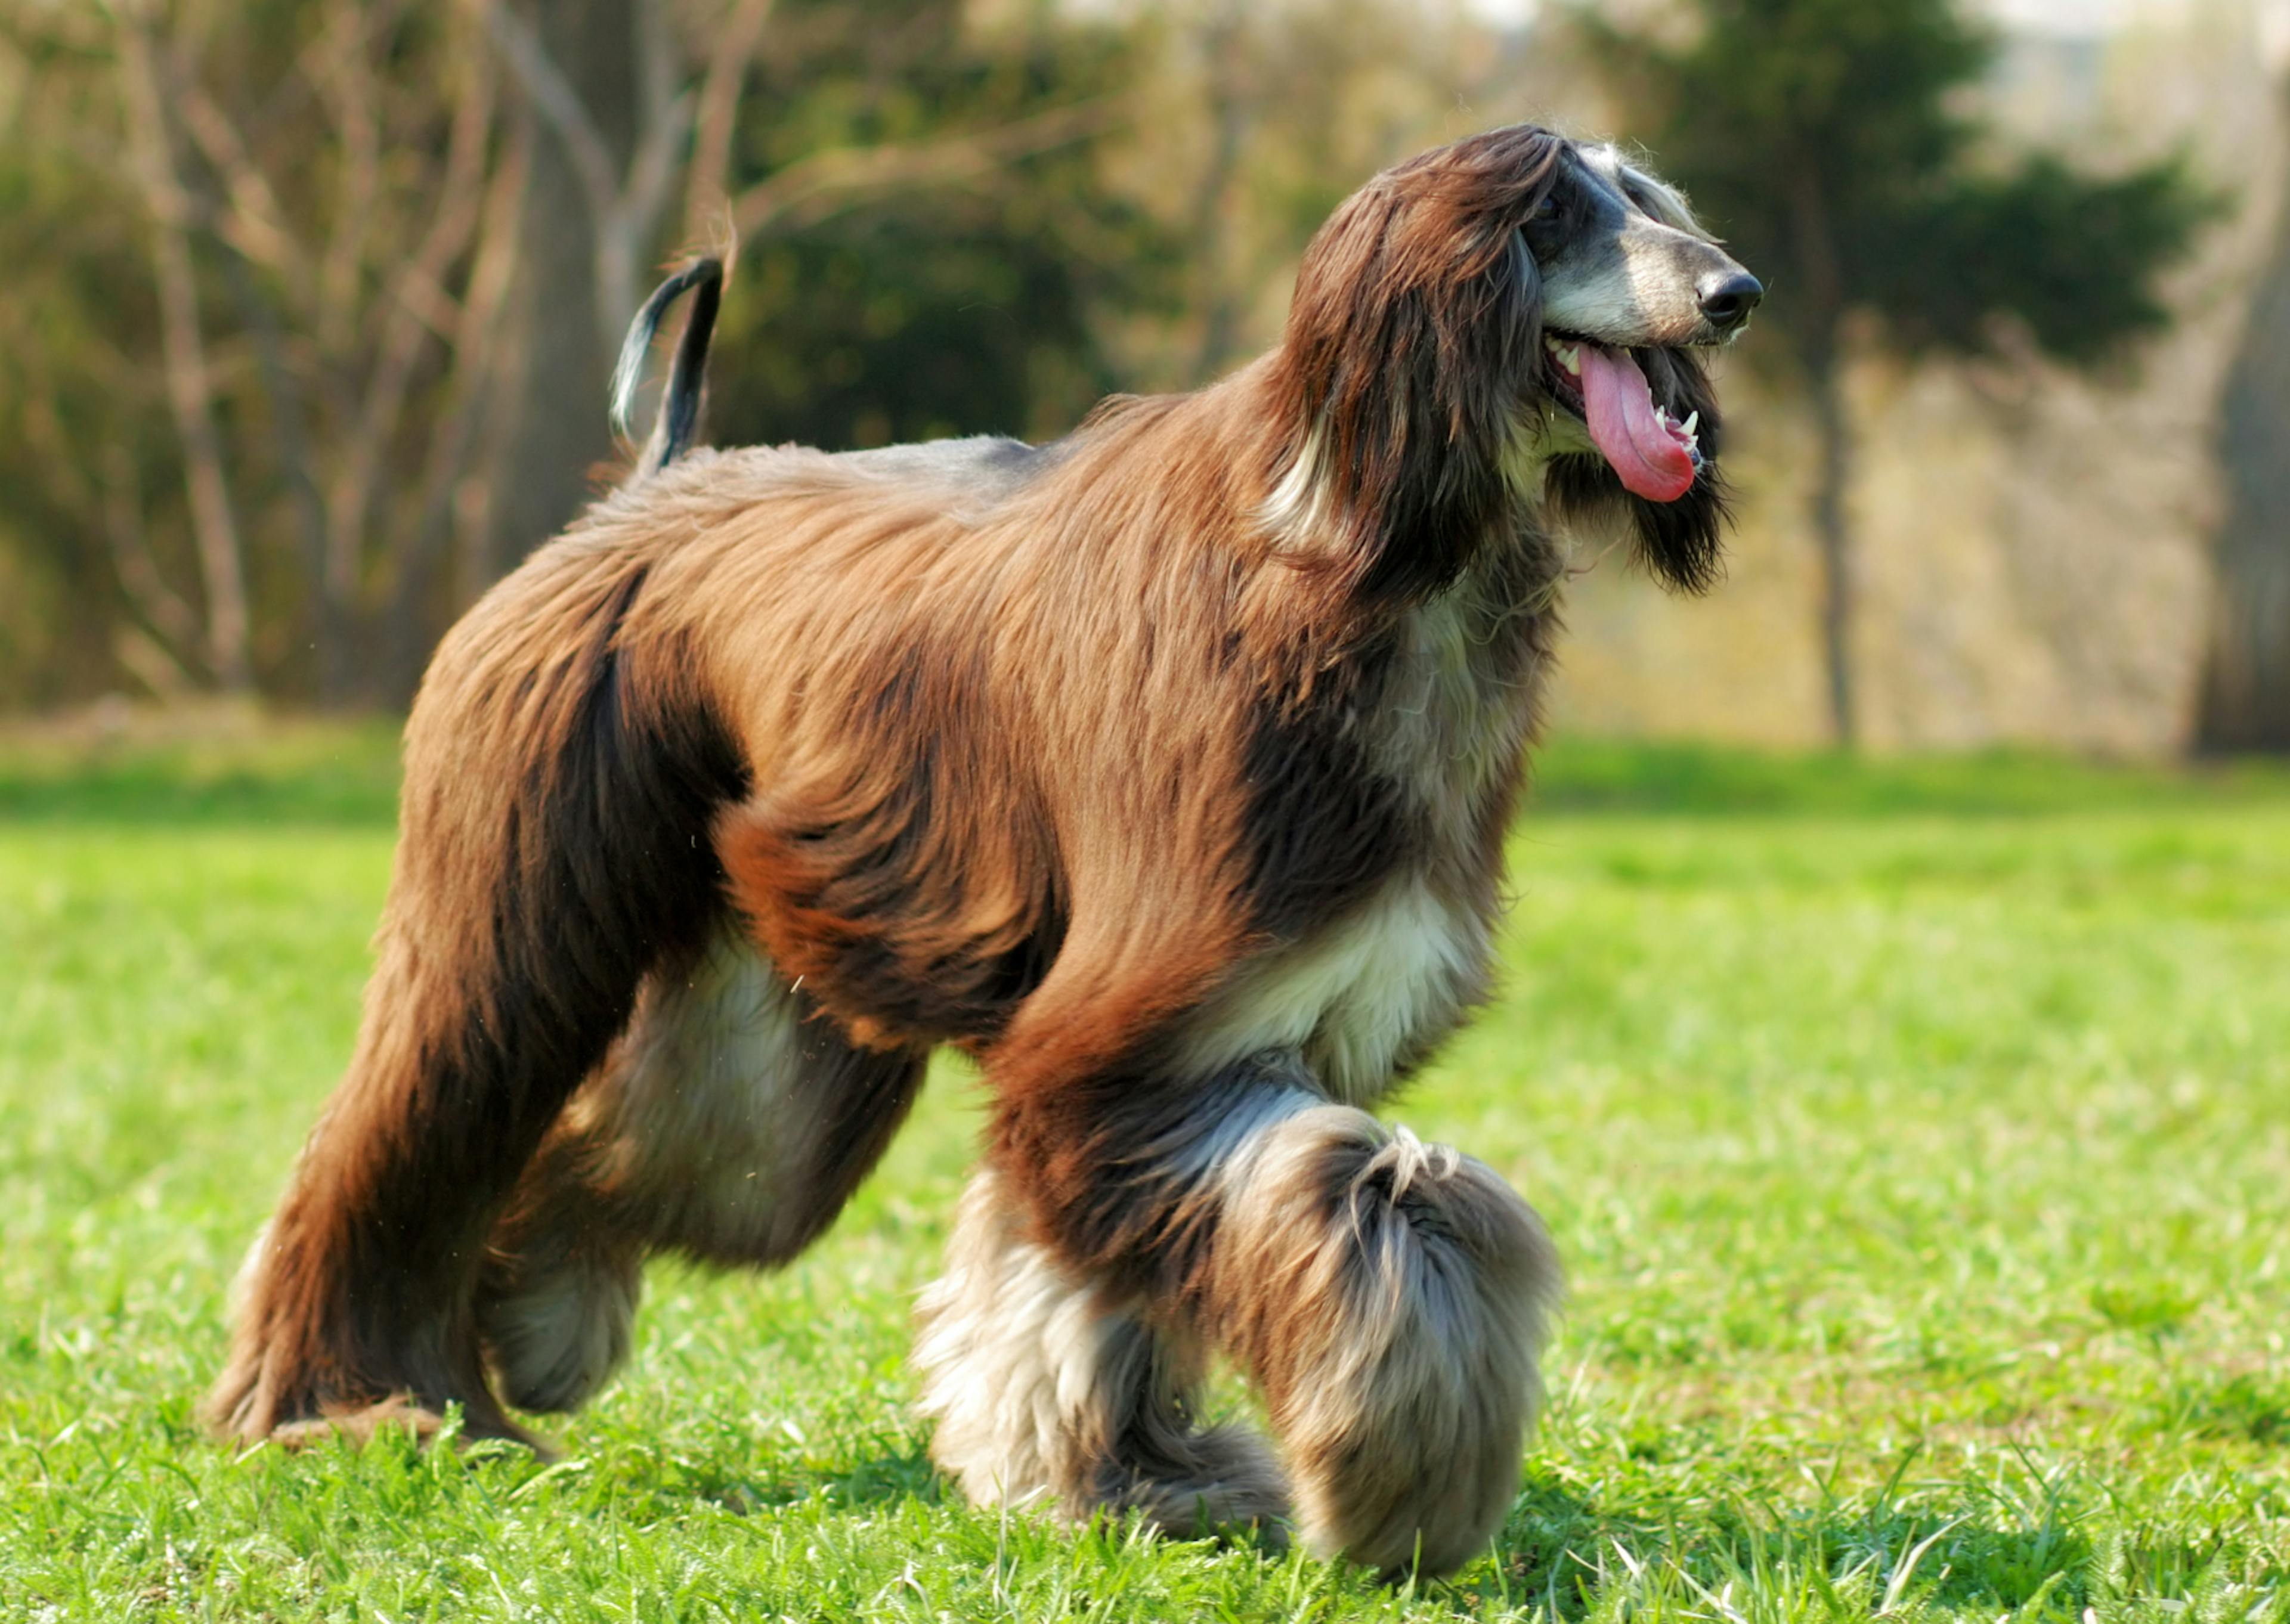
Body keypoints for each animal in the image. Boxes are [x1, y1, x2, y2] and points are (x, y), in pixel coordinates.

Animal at [211, 123, 1749, 1566]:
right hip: (512, 905)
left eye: (1645, 196)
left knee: (627, 1154)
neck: (1373, 563)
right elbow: (1371, 1210)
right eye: (1549, 215)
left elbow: (1093, 1279)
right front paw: (1392, 1487)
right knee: (406, 1130)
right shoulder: (1130, 1032)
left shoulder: (1222, 1036)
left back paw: (526, 1322)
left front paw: (1124, 1480)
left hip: (771, 1045)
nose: (1734, 294)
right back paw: (343, 1408)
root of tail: (644, 490)